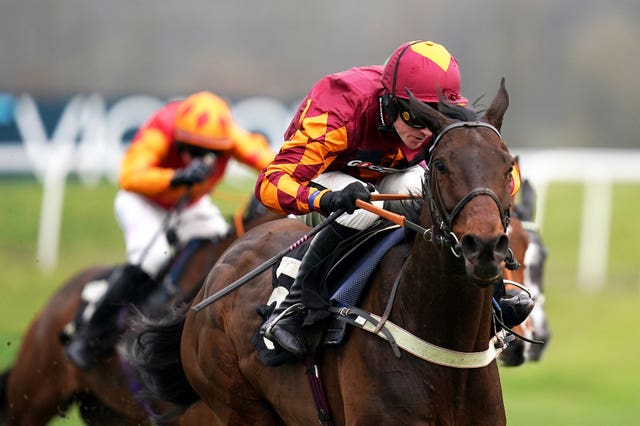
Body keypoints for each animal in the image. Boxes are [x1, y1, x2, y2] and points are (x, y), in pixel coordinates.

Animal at [126, 80, 520, 426]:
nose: (484, 246)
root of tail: (213, 279)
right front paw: (345, 198)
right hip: (236, 402)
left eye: (509, 165)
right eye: (441, 165)